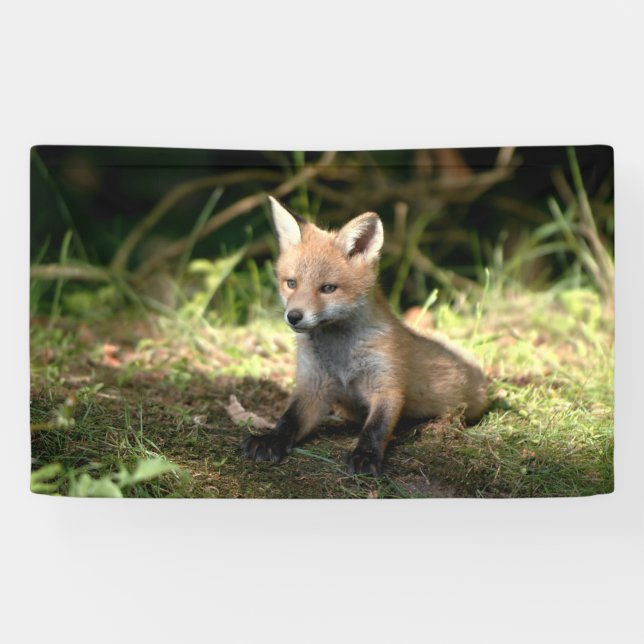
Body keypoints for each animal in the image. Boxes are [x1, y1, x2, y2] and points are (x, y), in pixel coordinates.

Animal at [242, 196, 487, 476]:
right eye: (291, 283)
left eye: (328, 288)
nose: (293, 316)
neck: (341, 355)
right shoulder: (312, 385)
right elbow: (289, 419)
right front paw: (270, 439)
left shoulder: (386, 384)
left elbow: (376, 428)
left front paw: (365, 456)